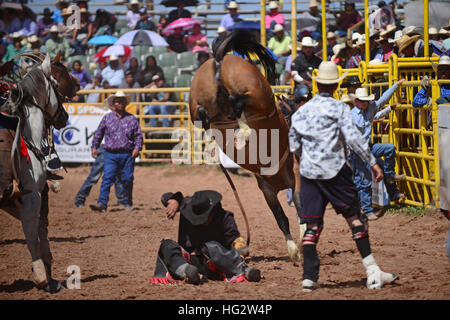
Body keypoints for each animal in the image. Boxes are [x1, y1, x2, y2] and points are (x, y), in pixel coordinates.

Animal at [188, 29, 308, 262]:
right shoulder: (279, 184)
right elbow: (292, 213)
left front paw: (294, 248)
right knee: (238, 101)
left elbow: (285, 216)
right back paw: (242, 129)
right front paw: (297, 248)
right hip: (257, 94)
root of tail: (220, 59)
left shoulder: (270, 188)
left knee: (206, 113)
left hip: (197, 103)